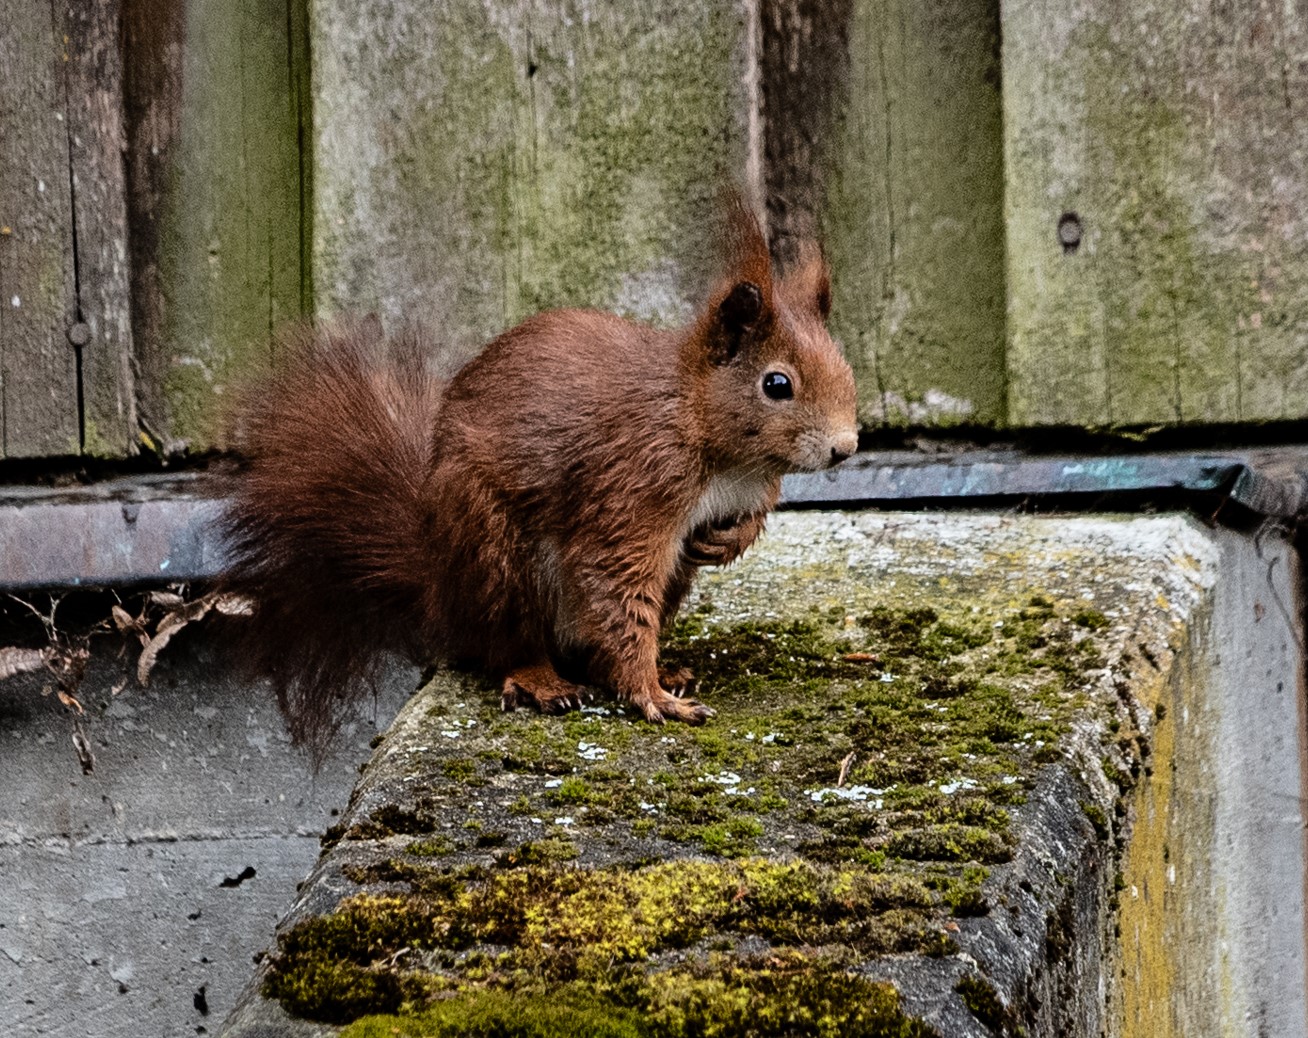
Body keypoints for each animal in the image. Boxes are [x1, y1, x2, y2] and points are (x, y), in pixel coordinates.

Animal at [219, 200, 858, 742]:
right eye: (776, 384)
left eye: (844, 365)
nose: (846, 448)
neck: (708, 434)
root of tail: (438, 589)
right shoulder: (632, 486)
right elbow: (617, 589)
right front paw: (650, 697)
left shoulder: (747, 487)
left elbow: (747, 521)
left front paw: (724, 542)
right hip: (494, 554)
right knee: (508, 644)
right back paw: (544, 680)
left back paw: (662, 667)